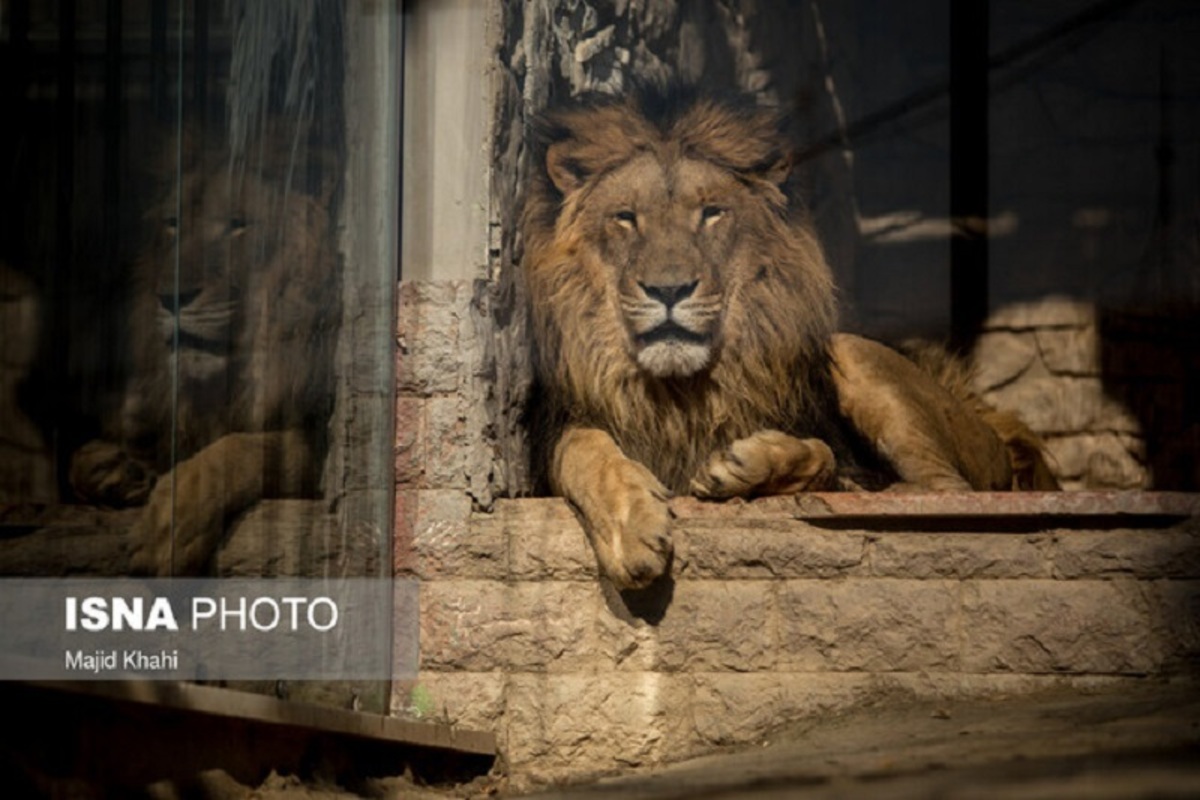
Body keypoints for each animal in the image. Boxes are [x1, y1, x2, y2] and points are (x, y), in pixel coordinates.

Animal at [70, 148, 338, 575]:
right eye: (173, 224)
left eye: (238, 225)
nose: (171, 297)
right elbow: (79, 460)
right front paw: (118, 470)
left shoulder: (316, 441)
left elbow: (239, 449)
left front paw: (167, 528)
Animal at [520, 87, 1056, 592]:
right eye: (626, 217)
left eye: (711, 213)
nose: (669, 290)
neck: (681, 392)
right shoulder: (557, 430)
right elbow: (587, 451)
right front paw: (632, 531)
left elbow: (822, 454)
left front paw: (749, 467)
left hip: (853, 352)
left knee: (946, 489)